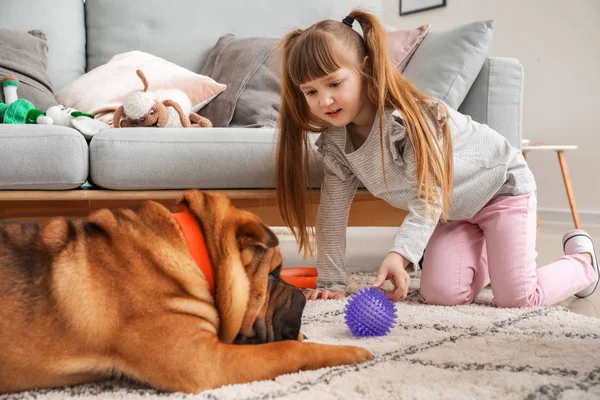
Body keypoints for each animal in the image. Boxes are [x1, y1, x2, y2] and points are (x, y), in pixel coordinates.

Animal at [0, 191, 372, 394]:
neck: (192, 249)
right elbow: (285, 351)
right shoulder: (205, 360)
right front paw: (349, 352)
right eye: (274, 273)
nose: (300, 296)